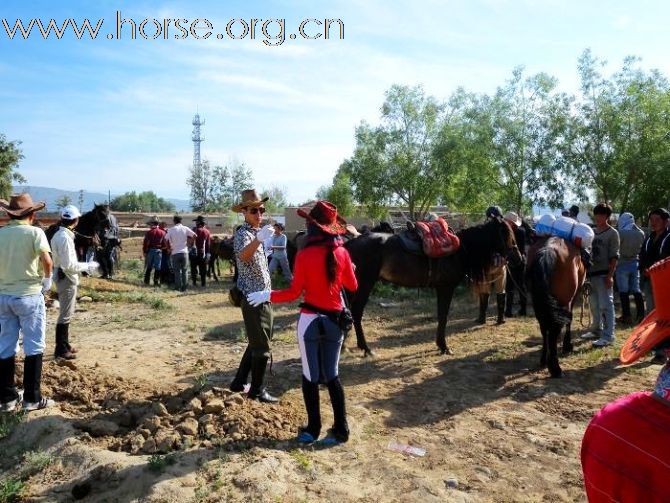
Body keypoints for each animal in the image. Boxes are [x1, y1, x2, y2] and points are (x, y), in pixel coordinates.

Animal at [344, 219, 524, 356]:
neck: (459, 251)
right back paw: (366, 349)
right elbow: (443, 316)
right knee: (356, 312)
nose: (519, 258)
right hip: (365, 284)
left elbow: (441, 315)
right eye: (507, 235)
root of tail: (349, 243)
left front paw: (440, 344)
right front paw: (444, 346)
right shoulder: (446, 288)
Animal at [532, 236, 588, 378]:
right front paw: (567, 345)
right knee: (554, 332)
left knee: (544, 328)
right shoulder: (573, 296)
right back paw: (555, 368)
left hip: (539, 303)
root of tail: (548, 249)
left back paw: (544, 359)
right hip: (563, 302)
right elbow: (570, 319)